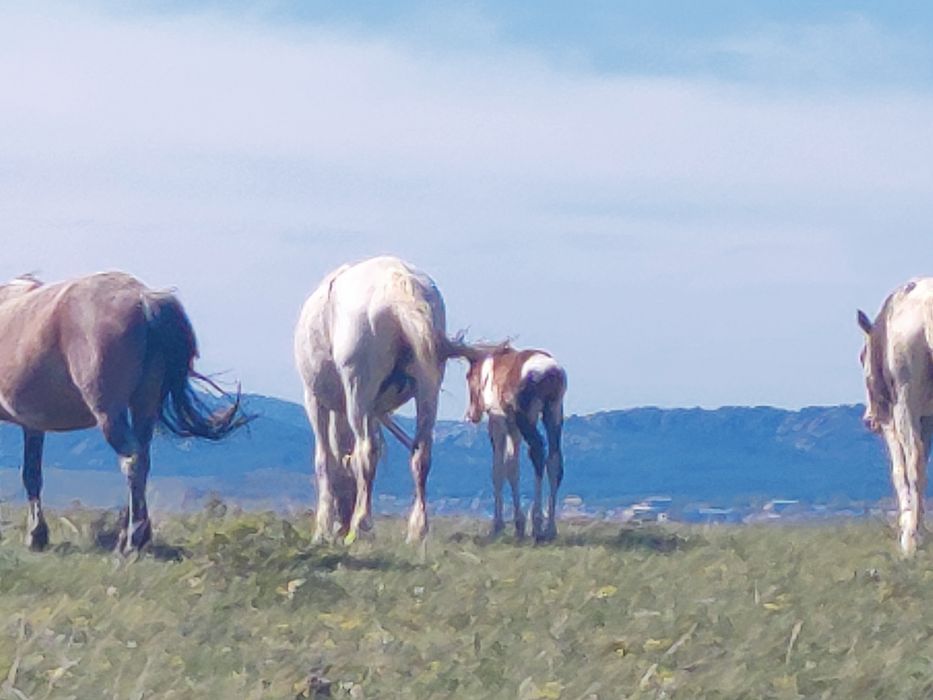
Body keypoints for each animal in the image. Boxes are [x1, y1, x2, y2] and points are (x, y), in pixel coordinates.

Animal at [0, 271, 249, 552]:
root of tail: (144, 299)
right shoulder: (33, 423)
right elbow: (32, 473)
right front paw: (37, 534)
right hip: (144, 405)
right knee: (143, 459)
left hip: (110, 412)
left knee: (132, 461)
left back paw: (132, 539)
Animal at [294, 256, 459, 544]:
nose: (341, 524)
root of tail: (397, 285)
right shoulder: (373, 410)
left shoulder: (315, 400)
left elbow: (326, 460)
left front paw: (323, 528)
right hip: (428, 386)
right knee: (421, 453)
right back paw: (417, 530)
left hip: (358, 386)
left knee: (366, 450)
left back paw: (361, 525)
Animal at [462, 342, 567, 541]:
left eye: (468, 375)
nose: (472, 415)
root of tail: (550, 372)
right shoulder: (514, 429)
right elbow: (512, 468)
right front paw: (519, 525)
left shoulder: (498, 422)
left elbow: (498, 470)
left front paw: (498, 526)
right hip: (553, 413)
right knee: (554, 461)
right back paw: (550, 529)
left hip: (528, 418)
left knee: (538, 452)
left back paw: (537, 524)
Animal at [858, 278, 933, 556]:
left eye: (862, 357)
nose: (868, 420)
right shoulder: (927, 419)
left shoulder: (891, 418)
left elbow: (900, 470)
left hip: (904, 399)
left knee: (914, 460)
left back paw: (910, 541)